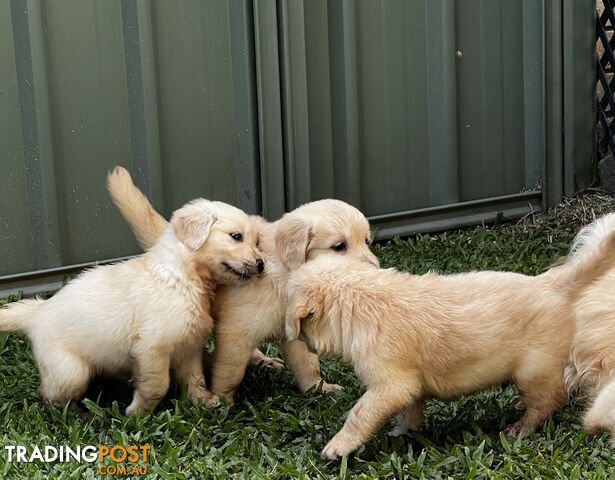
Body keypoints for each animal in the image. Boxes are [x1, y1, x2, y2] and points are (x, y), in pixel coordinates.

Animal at [0, 170, 262, 416]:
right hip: (70, 371)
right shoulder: (151, 346)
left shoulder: (189, 346)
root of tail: (37, 312)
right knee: (47, 394)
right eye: (236, 236)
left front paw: (204, 402)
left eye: (257, 242)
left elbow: (195, 379)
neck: (183, 276)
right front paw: (137, 414)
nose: (261, 264)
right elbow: (158, 385)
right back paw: (77, 413)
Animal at [106, 171, 378, 404]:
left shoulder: (292, 332)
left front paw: (319, 388)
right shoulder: (236, 331)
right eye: (339, 246)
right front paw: (222, 401)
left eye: (366, 241)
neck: (284, 275)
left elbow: (308, 364)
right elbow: (230, 372)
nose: (375, 269)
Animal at [286, 232, 615, 462]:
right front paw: (403, 431)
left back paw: (520, 427)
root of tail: (550, 282)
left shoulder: (390, 385)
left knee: (551, 400)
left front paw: (337, 447)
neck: (359, 299)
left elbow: (360, 413)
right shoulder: (410, 384)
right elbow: (410, 409)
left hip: (532, 368)